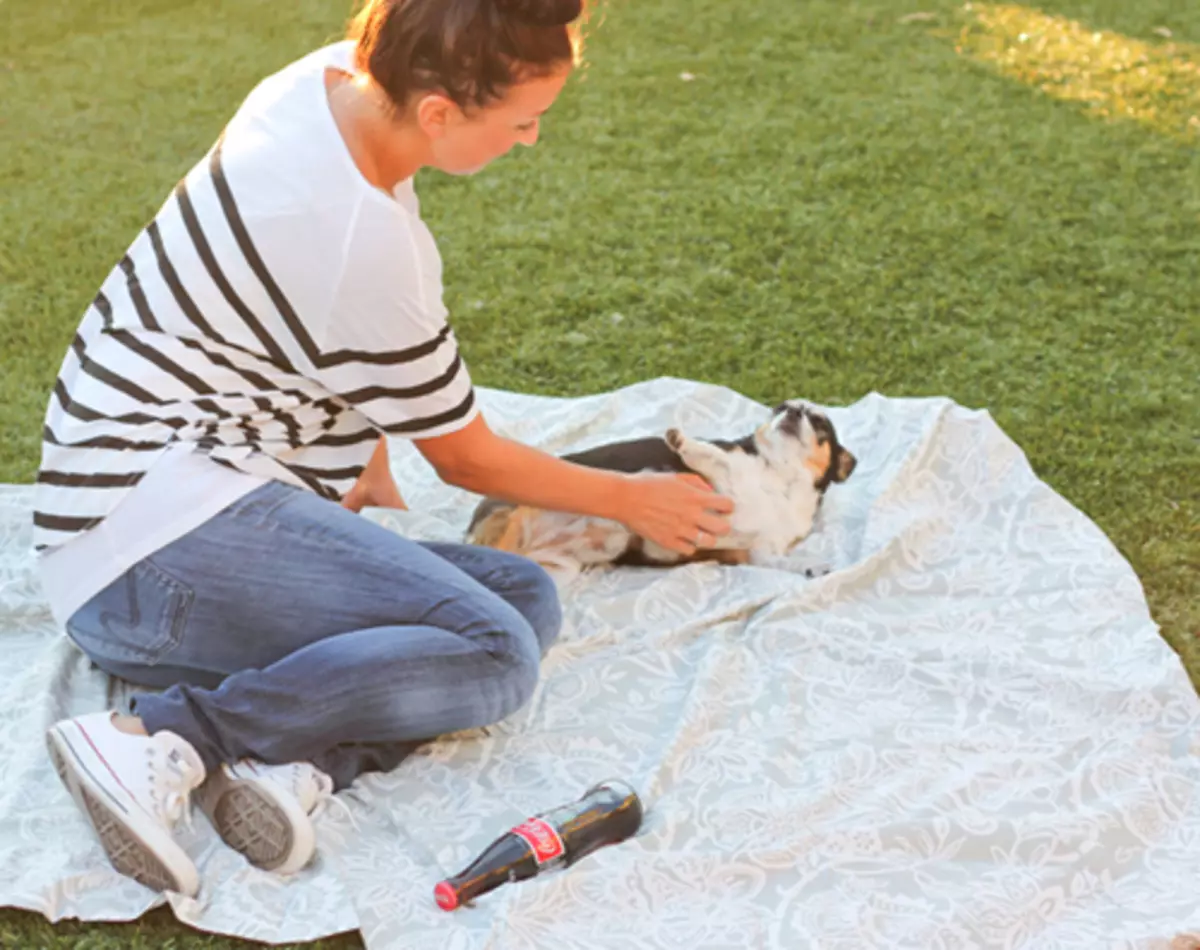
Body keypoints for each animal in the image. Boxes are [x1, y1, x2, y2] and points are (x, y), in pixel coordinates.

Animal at [463, 398, 859, 582]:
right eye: (779, 409)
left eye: (819, 422)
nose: (792, 412)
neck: (780, 477)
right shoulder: (718, 476)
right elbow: (711, 455)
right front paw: (680, 439)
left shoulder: (763, 551)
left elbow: (785, 562)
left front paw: (812, 567)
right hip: (511, 519)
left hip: (557, 571)